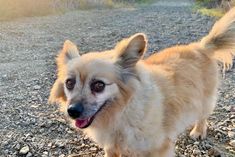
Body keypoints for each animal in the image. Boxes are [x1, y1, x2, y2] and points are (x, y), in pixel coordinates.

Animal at [49, 8, 235, 157]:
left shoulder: (159, 148)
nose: (72, 111)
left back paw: (198, 131)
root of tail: (201, 46)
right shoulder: (111, 147)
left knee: (203, 115)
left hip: (203, 100)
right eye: (69, 83)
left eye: (99, 85)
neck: (121, 112)